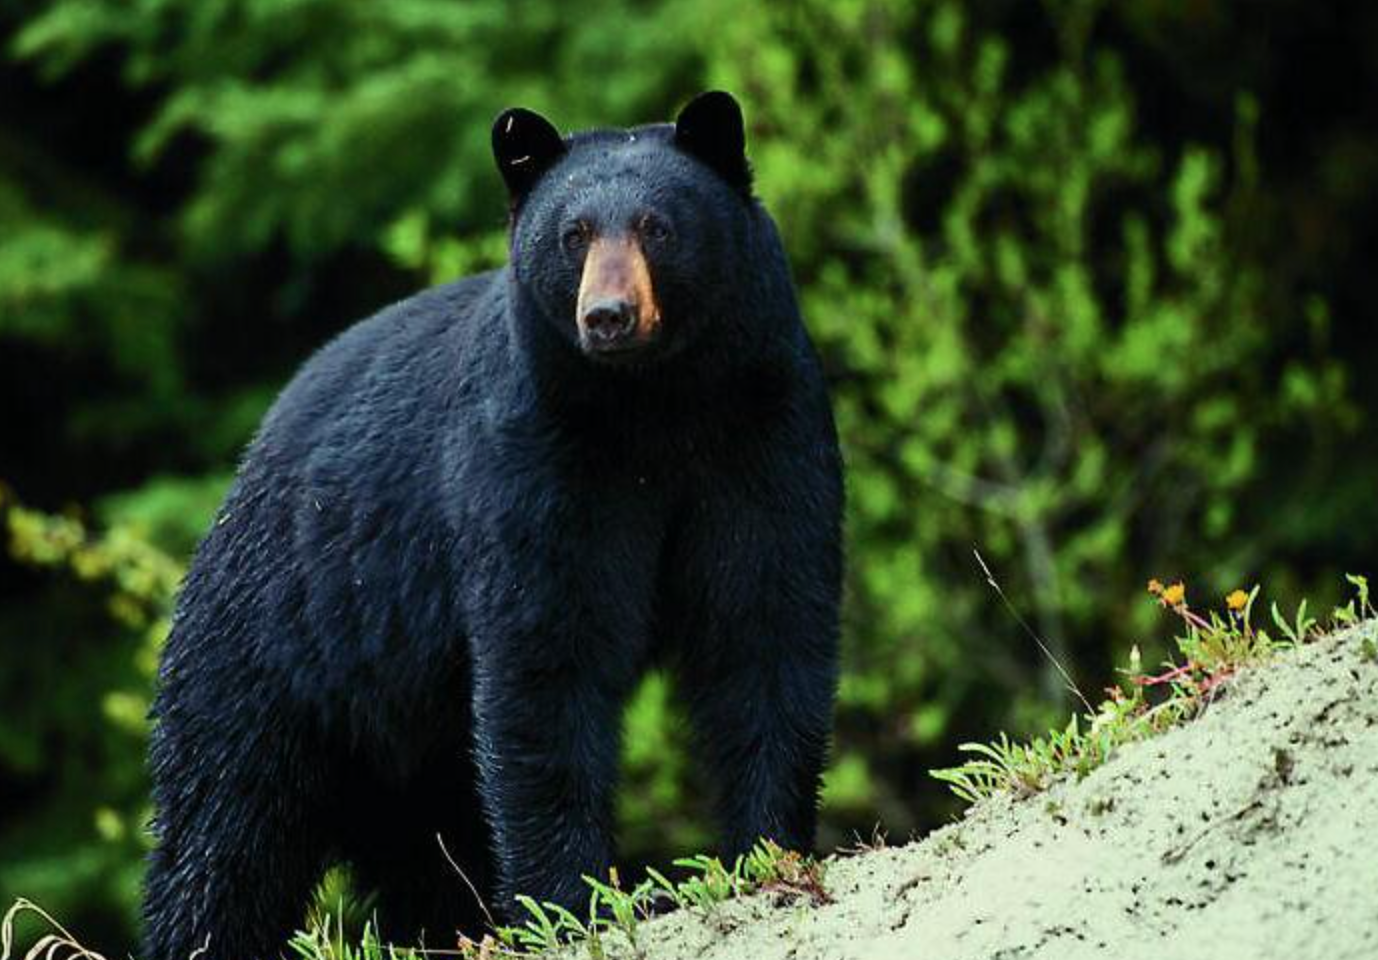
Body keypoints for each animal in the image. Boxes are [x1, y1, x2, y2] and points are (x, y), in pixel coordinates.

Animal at [141, 90, 843, 960]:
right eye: (572, 234)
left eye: (657, 226)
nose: (608, 316)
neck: (654, 405)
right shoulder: (533, 460)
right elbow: (544, 657)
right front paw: (573, 901)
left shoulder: (761, 430)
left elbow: (764, 619)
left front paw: (767, 851)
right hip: (275, 649)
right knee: (224, 826)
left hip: (403, 743)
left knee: (422, 849)